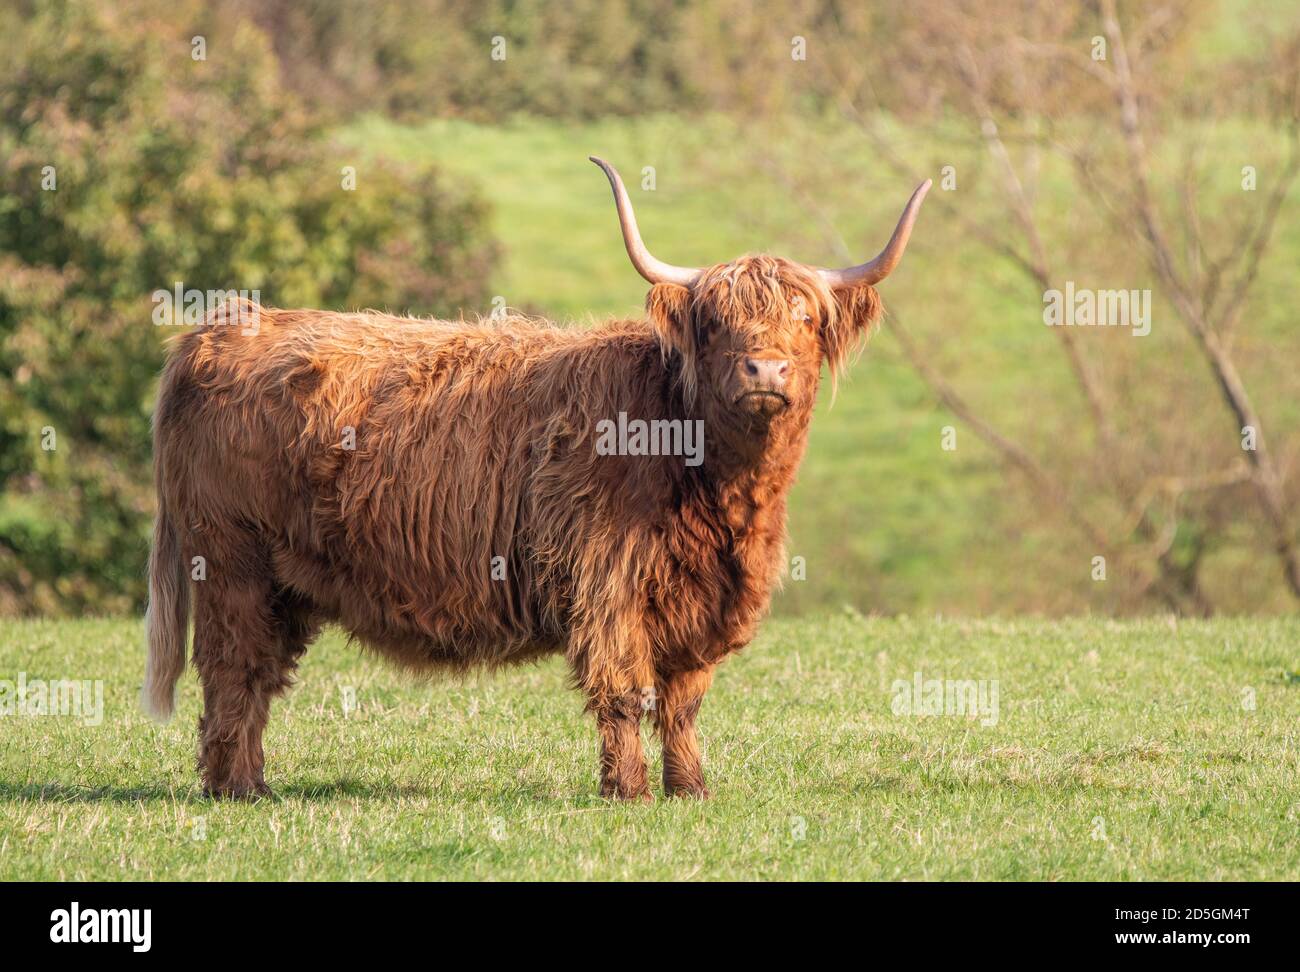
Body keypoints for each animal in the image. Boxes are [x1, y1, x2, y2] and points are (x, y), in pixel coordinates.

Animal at [142, 157, 929, 800]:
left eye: (806, 317)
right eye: (714, 322)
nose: (765, 369)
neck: (720, 491)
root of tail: (220, 328)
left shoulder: (700, 602)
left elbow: (682, 702)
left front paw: (691, 789)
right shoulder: (607, 580)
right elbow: (624, 690)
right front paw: (629, 792)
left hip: (283, 581)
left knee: (259, 675)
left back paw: (253, 782)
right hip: (231, 562)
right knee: (234, 669)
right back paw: (235, 789)